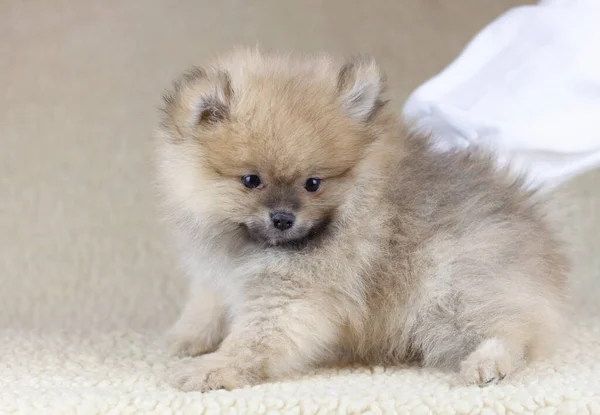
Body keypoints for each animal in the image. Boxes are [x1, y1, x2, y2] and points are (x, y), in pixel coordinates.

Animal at [155, 50, 568, 392]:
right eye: (251, 180)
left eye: (313, 184)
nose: (283, 218)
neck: (248, 245)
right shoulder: (214, 273)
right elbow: (205, 307)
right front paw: (185, 339)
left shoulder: (292, 296)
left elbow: (253, 340)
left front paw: (215, 368)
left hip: (453, 290)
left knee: (512, 329)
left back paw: (488, 363)